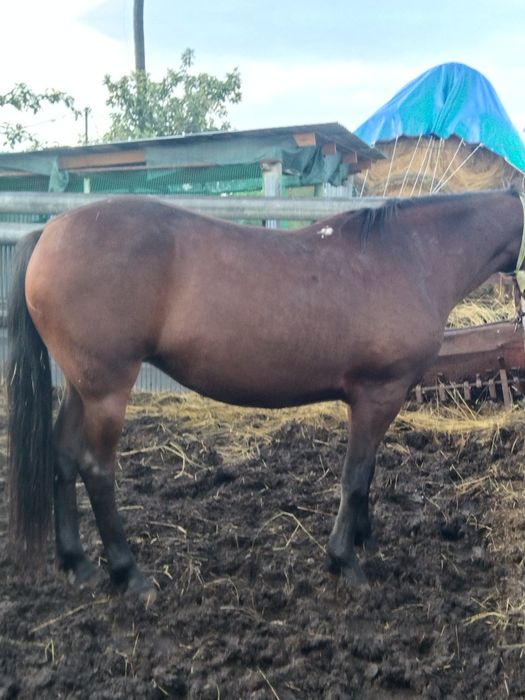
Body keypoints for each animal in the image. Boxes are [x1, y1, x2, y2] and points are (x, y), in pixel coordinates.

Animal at [7, 189, 525, 601]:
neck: (411, 255)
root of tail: (49, 230)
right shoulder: (379, 393)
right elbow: (355, 477)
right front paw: (345, 561)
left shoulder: (378, 400)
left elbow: (368, 472)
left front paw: (363, 540)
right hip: (108, 391)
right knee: (96, 469)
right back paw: (129, 574)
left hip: (81, 386)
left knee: (64, 455)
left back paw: (78, 564)